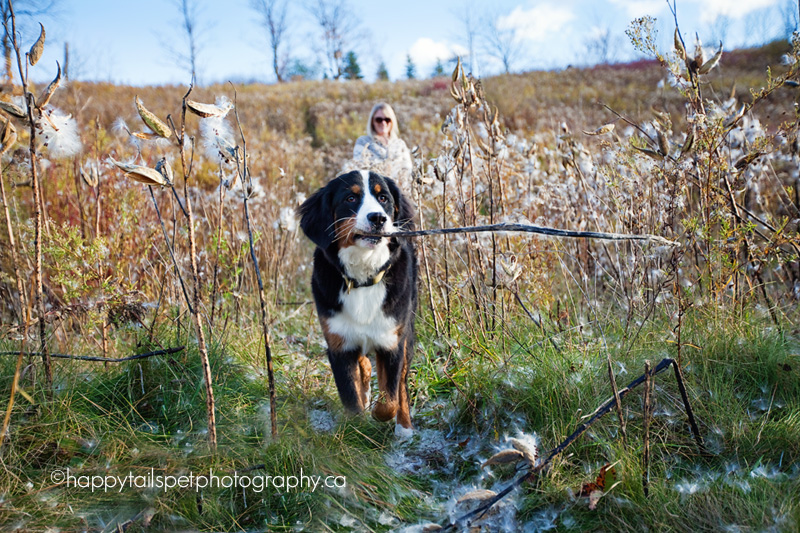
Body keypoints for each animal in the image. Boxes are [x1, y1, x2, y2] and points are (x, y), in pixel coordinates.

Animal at [296, 169, 416, 432]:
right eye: (350, 199)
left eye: (383, 198)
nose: (378, 218)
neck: (362, 277)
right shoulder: (339, 344)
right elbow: (352, 399)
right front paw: (357, 427)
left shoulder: (391, 341)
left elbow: (390, 398)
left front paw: (379, 415)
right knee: (365, 365)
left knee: (401, 385)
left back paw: (404, 428)